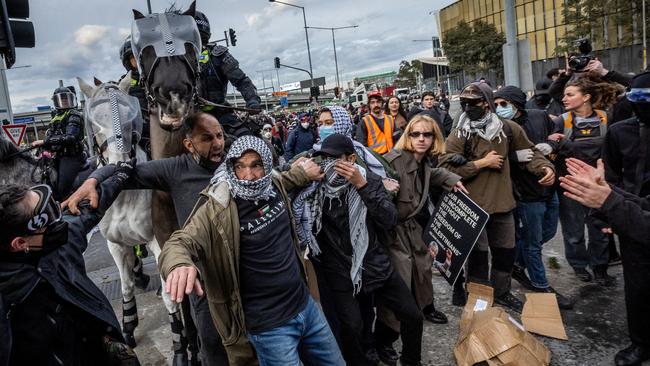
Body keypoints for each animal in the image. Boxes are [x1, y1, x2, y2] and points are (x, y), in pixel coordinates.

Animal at [78, 78, 190, 364]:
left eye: (132, 119)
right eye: (95, 122)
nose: (120, 164)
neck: (125, 193)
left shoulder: (160, 242)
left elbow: (171, 298)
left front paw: (179, 347)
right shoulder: (115, 245)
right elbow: (126, 285)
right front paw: (128, 325)